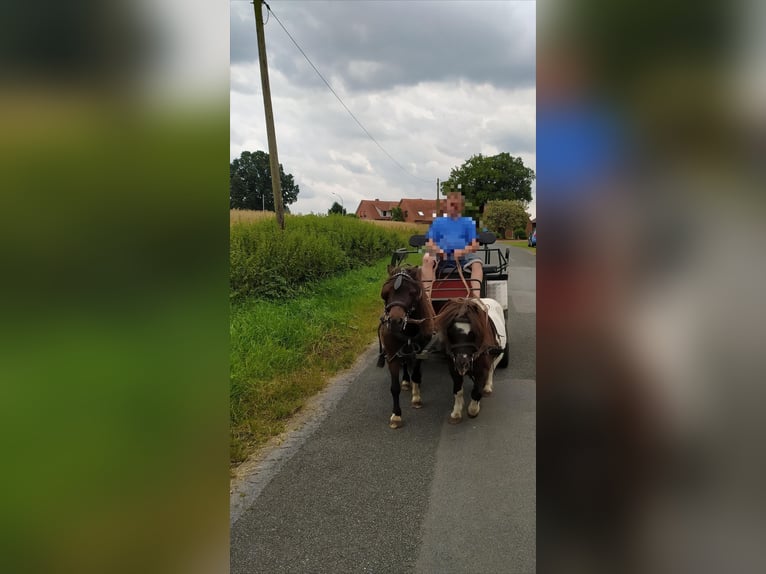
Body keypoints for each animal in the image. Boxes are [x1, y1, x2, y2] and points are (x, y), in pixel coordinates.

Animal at [380, 266, 436, 428]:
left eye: (412, 292)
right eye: (385, 293)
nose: (395, 321)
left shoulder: (420, 351)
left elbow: (416, 375)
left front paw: (416, 398)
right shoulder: (392, 355)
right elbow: (394, 388)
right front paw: (396, 415)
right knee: (404, 363)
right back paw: (405, 380)